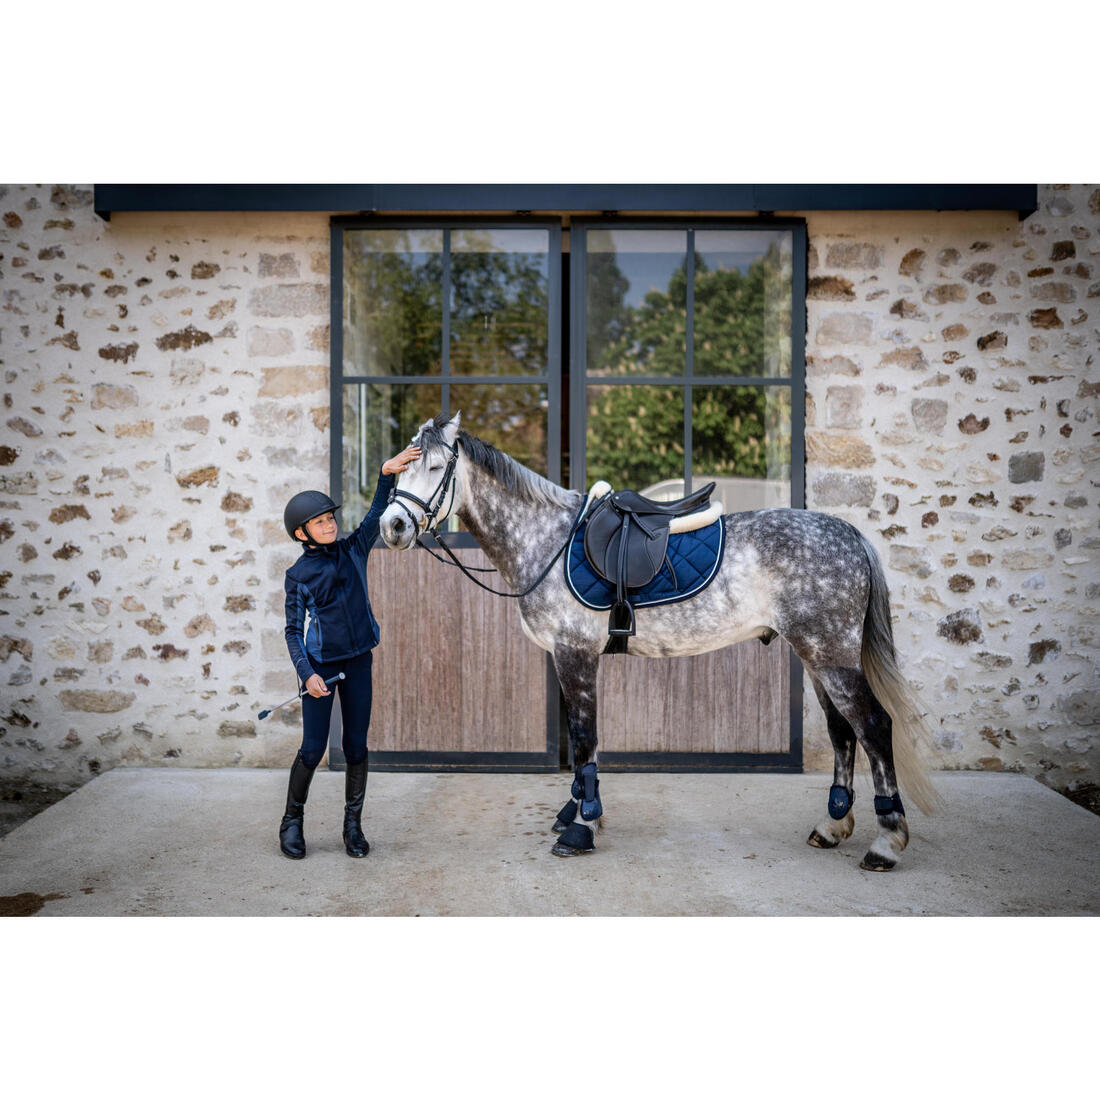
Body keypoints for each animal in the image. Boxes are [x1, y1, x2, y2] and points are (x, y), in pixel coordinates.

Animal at [379, 411, 941, 871]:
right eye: (401, 467)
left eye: (434, 467)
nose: (392, 526)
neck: (547, 540)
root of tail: (849, 534)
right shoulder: (568, 659)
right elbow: (583, 740)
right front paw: (577, 811)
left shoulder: (575, 656)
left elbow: (584, 738)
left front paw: (581, 828)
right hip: (815, 654)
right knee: (843, 732)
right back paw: (832, 826)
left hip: (830, 656)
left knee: (873, 726)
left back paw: (886, 843)